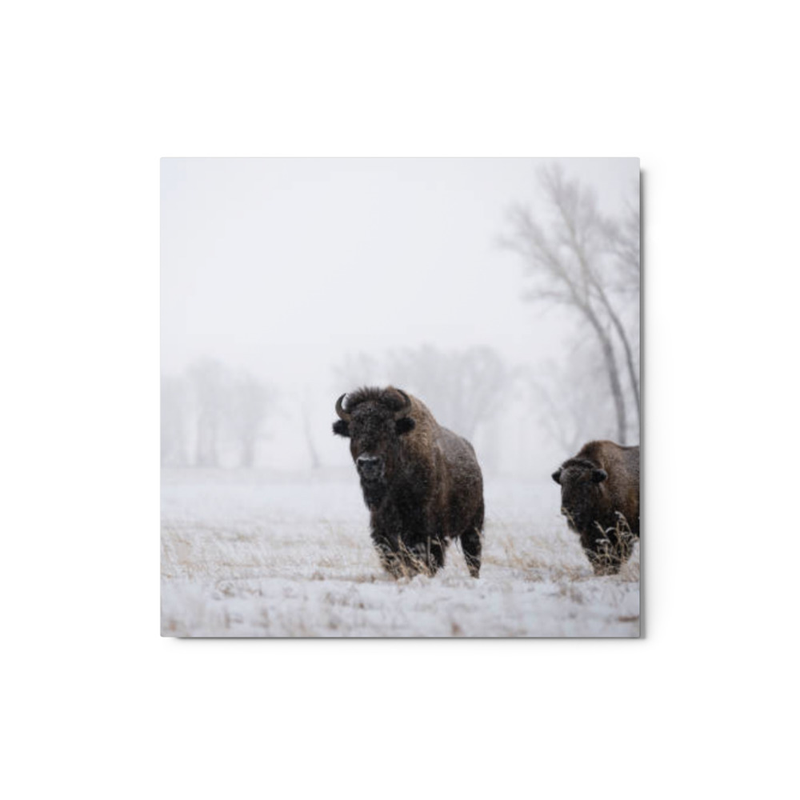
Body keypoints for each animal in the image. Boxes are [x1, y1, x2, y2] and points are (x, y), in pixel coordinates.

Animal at [333, 386, 485, 578]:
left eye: (390, 429)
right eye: (353, 431)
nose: (368, 462)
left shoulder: (427, 532)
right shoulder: (382, 530)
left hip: (473, 526)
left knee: (473, 557)